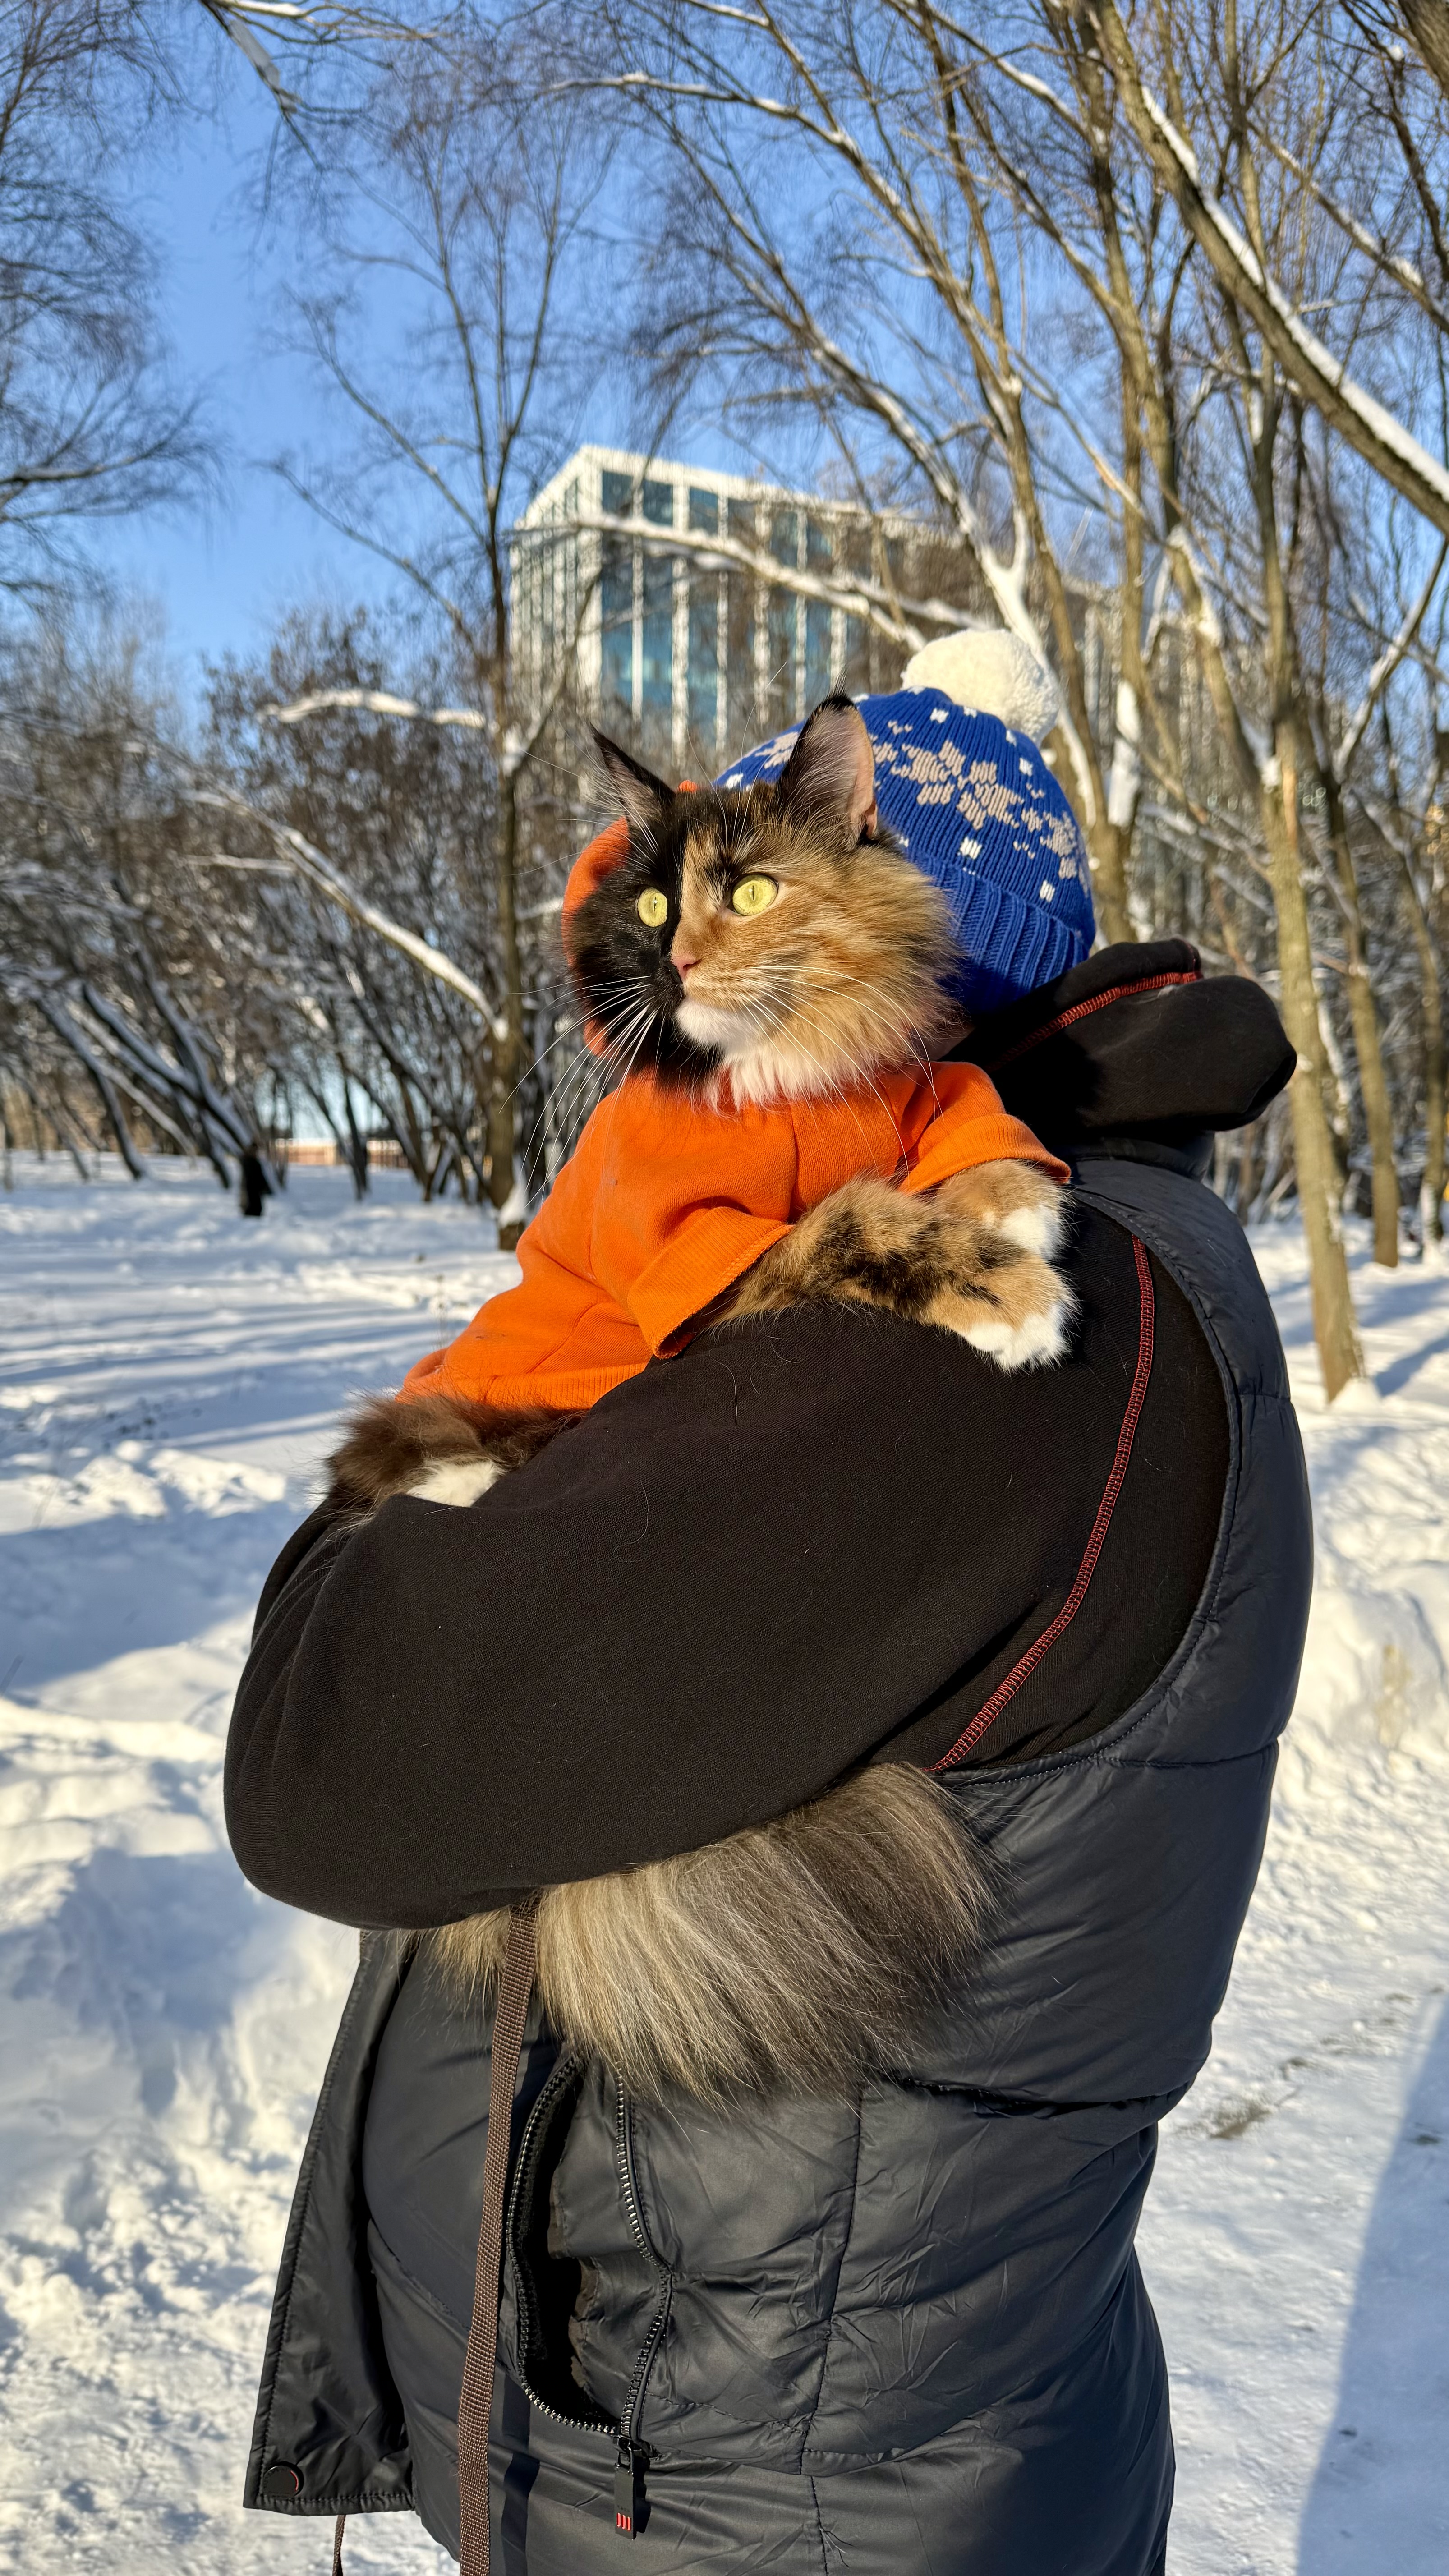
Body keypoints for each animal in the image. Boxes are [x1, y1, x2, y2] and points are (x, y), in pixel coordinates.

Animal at [328, 692, 1071, 1522]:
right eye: (654, 905)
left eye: (750, 892)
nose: (674, 962)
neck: (775, 1080)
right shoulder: (703, 1252)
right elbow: (855, 1220)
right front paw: (1006, 1289)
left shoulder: (908, 1089)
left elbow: (975, 1119)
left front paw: (1014, 1204)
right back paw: (455, 1474)